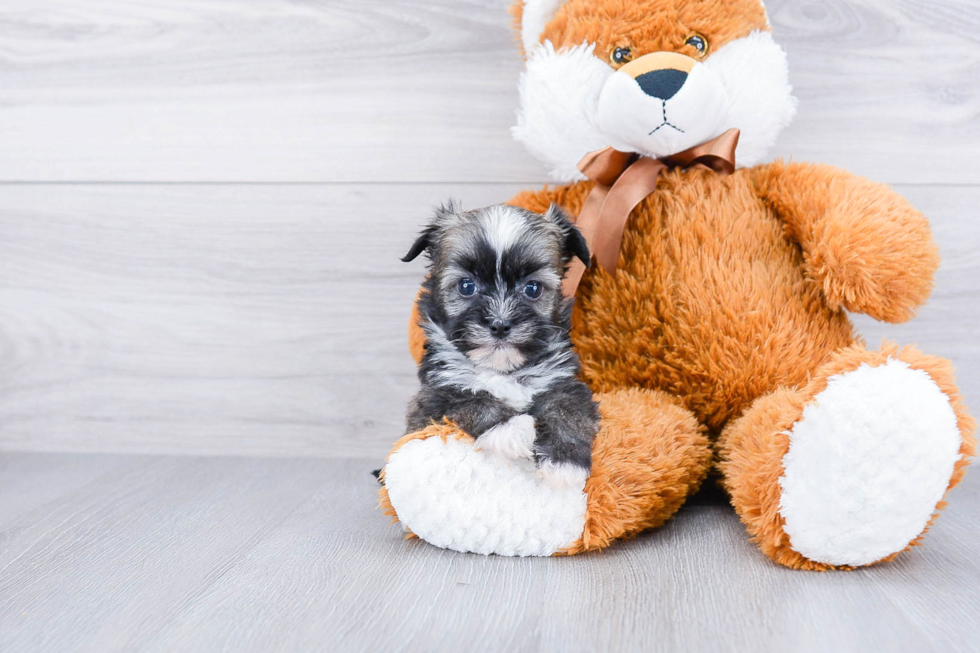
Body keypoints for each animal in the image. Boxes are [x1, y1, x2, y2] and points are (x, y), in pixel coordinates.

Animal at [402, 201, 600, 486]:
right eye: (466, 286)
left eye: (532, 288)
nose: (500, 324)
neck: (502, 369)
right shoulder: (432, 397)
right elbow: (469, 399)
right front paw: (510, 429)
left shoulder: (564, 383)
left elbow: (567, 410)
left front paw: (565, 460)